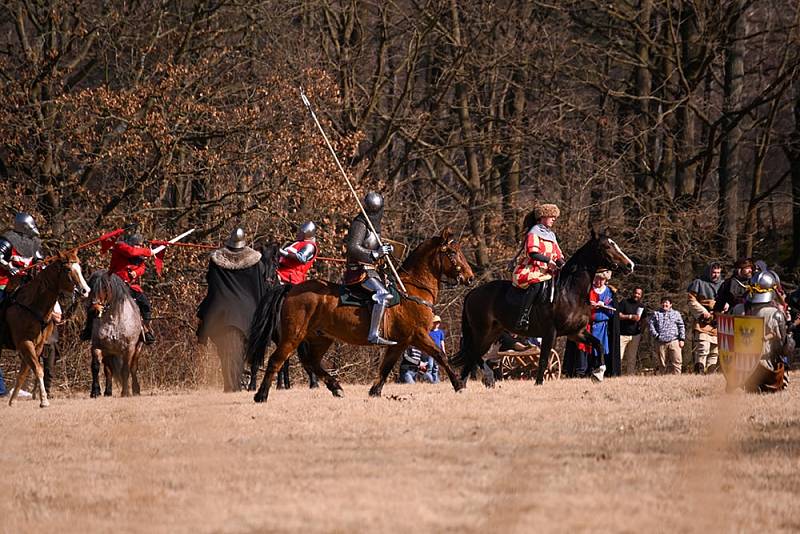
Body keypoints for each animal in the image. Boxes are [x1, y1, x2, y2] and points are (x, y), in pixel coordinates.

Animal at [0, 253, 90, 408]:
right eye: (67, 269)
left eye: (79, 267)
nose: (85, 290)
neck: (32, 303)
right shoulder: (25, 343)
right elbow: (38, 370)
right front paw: (44, 400)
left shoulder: (38, 345)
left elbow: (24, 372)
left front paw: (13, 401)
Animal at [250, 231, 476, 406]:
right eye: (452, 252)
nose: (470, 277)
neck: (412, 289)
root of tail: (292, 288)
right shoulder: (418, 336)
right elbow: (440, 355)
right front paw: (458, 384)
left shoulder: (400, 342)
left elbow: (386, 367)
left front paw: (375, 391)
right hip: (293, 335)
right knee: (276, 360)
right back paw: (261, 395)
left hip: (320, 337)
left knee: (311, 362)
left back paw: (336, 387)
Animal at [456, 232, 632, 388]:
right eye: (607, 246)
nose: (630, 265)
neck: (569, 292)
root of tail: (473, 292)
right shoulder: (550, 333)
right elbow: (544, 358)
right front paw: (539, 382)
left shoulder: (576, 333)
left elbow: (599, 344)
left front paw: (598, 373)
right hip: (482, 332)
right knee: (473, 353)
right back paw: (484, 378)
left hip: (492, 333)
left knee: (474, 354)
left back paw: (467, 383)